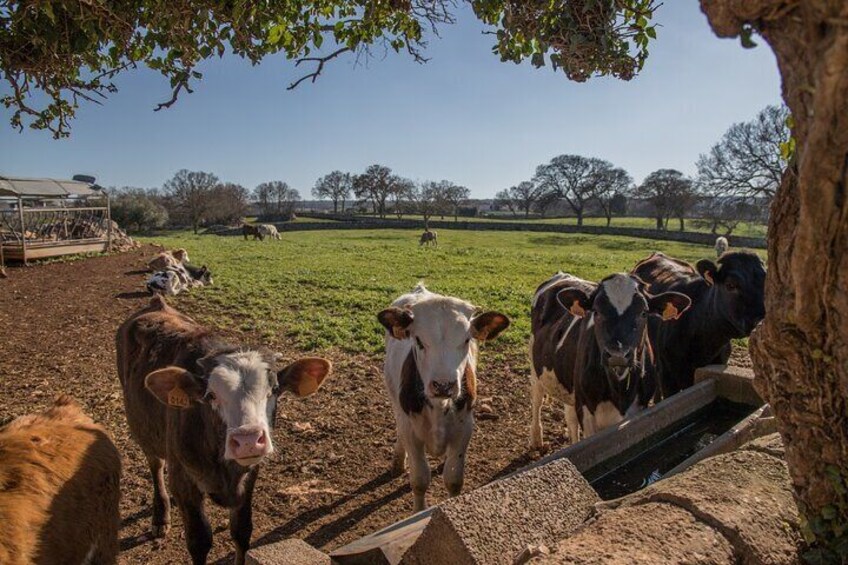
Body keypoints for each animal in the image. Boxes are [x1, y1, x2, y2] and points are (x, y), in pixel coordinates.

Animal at [119, 298, 332, 560]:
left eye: (274, 389)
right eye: (211, 395)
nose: (248, 440)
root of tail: (156, 303)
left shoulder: (249, 476)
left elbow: (241, 531)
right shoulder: (183, 480)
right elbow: (199, 541)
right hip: (143, 428)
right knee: (155, 465)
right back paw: (160, 516)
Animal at [380, 284, 510, 508]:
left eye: (466, 339)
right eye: (418, 340)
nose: (443, 385)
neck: (439, 406)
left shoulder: (464, 428)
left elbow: (454, 479)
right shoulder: (411, 432)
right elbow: (419, 480)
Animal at [528, 270, 696, 448]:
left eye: (643, 312)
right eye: (596, 311)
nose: (617, 355)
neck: (619, 390)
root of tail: (562, 275)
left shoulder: (640, 408)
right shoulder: (586, 409)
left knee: (570, 417)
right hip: (535, 367)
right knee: (537, 401)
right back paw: (536, 439)